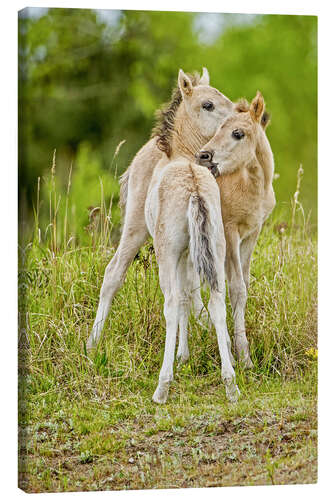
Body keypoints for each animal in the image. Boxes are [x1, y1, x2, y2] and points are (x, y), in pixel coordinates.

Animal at [145, 158, 239, 404]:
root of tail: (194, 190)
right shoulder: (190, 253)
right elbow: (187, 297)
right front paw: (183, 356)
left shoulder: (180, 254)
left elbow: (181, 299)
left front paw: (181, 356)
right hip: (217, 245)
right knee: (217, 302)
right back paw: (231, 385)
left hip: (167, 250)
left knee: (171, 303)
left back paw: (162, 388)